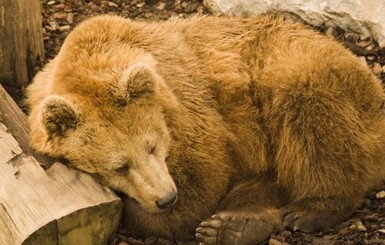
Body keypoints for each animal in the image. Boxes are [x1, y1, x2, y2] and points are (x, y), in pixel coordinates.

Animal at [25, 14, 384, 244]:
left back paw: (310, 211)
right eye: (119, 166)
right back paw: (234, 226)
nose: (165, 198)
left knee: (313, 120)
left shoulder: (192, 107)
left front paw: (152, 215)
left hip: (308, 80)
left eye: (152, 145)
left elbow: (204, 176)